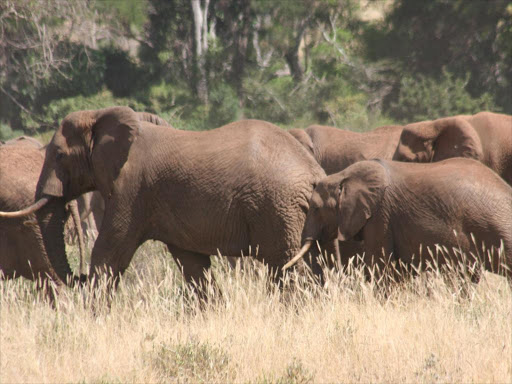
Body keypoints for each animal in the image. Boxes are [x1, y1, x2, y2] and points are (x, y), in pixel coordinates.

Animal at [5, 106, 328, 292]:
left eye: (59, 155)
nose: (79, 277)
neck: (100, 117)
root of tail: (314, 171)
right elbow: (192, 264)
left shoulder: (132, 189)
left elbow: (110, 252)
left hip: (277, 207)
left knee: (286, 265)